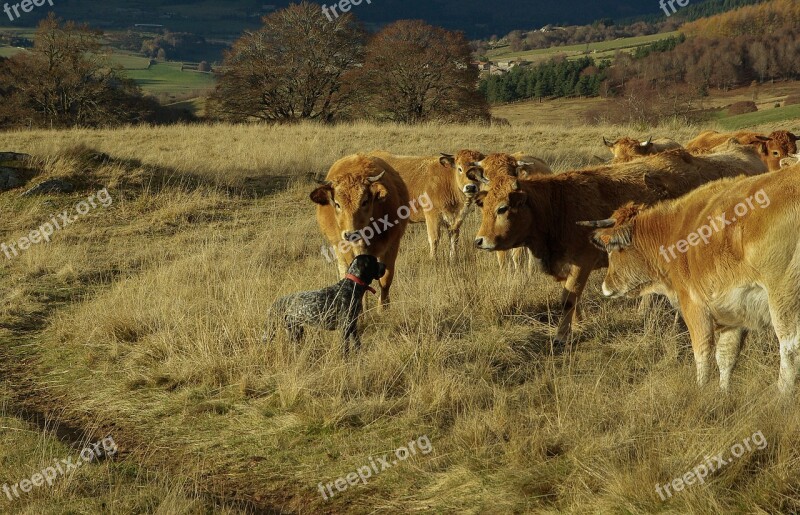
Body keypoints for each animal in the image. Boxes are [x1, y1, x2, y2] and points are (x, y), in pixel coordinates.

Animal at [310, 153, 410, 306]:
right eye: (337, 204)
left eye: (365, 201)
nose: (351, 234)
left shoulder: (392, 245)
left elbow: (385, 280)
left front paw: (383, 308)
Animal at [468, 145, 768, 344]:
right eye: (483, 206)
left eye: (503, 208)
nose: (479, 241)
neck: (556, 205)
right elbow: (572, 299)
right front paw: (577, 324)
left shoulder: (582, 263)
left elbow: (568, 299)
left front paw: (562, 336)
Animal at [588, 165, 800, 392]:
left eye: (611, 249)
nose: (605, 286)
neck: (672, 232)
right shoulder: (733, 316)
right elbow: (726, 356)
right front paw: (723, 393)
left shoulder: (694, 306)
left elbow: (702, 353)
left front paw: (701, 389)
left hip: (783, 299)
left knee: (790, 348)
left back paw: (782, 394)